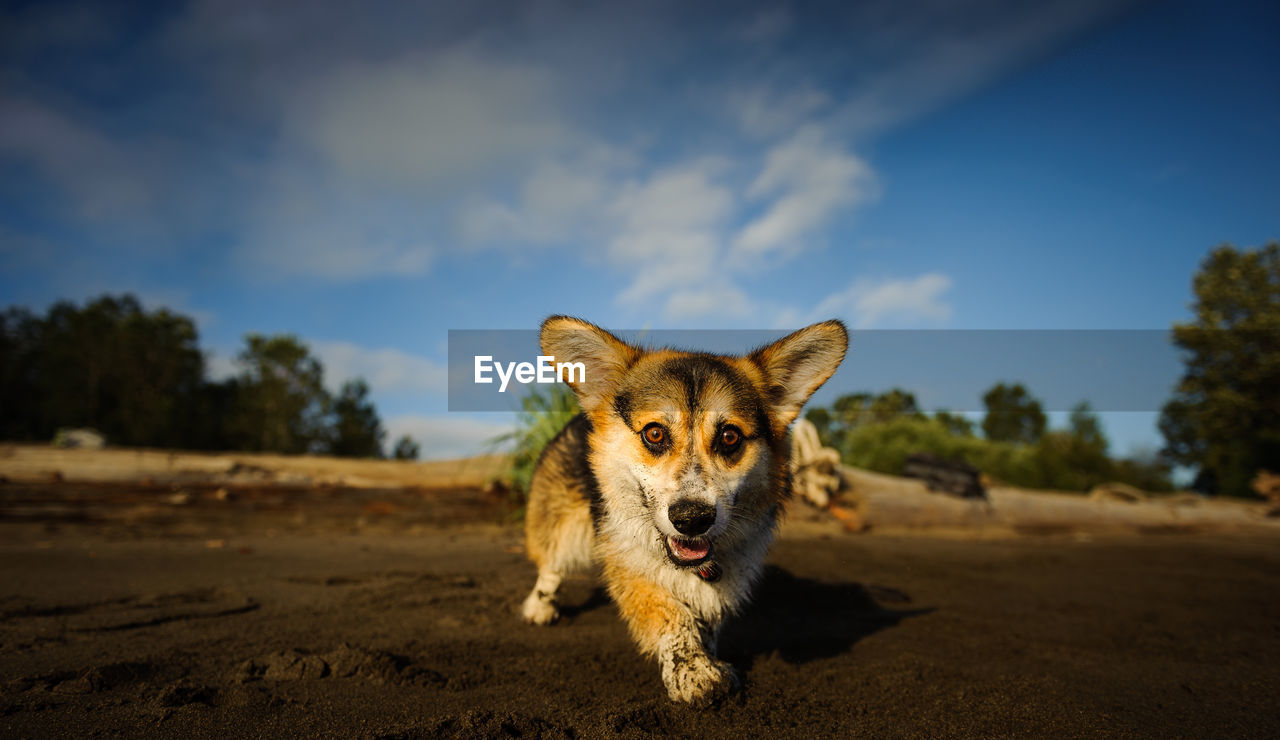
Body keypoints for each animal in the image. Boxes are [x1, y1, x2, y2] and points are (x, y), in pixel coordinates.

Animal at [519, 314, 849, 701]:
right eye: (655, 433)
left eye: (730, 437)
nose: (692, 519)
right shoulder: (629, 562)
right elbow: (670, 614)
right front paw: (693, 669)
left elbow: (706, 620)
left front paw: (707, 654)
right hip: (562, 524)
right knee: (552, 564)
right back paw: (540, 605)